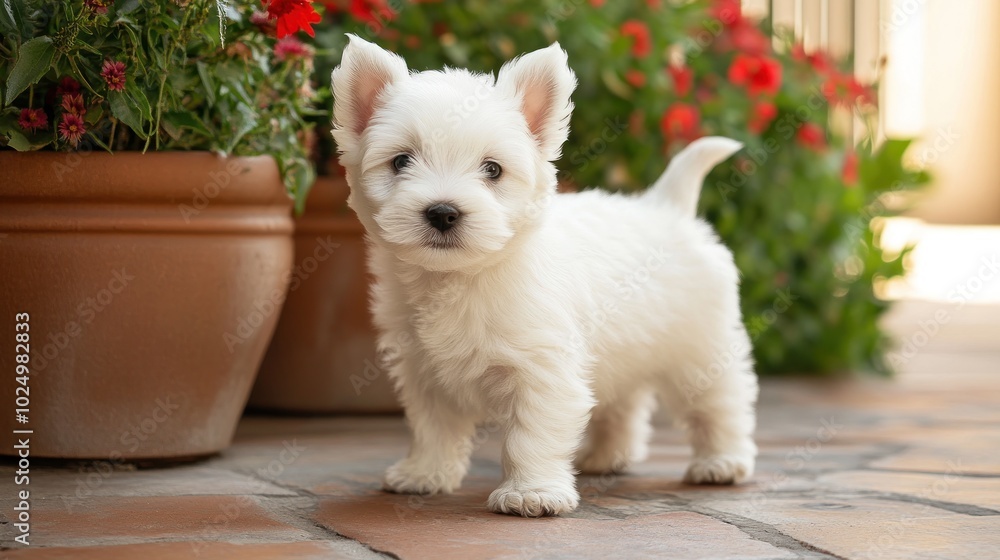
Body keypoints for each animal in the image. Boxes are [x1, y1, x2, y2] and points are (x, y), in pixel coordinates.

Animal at [330, 34, 756, 516]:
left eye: (492, 169)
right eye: (401, 161)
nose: (442, 212)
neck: (461, 278)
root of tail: (667, 207)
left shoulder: (542, 370)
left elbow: (530, 437)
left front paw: (531, 493)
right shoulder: (424, 371)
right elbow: (432, 428)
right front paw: (425, 474)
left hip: (701, 351)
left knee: (720, 405)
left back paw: (722, 461)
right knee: (623, 405)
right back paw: (606, 456)